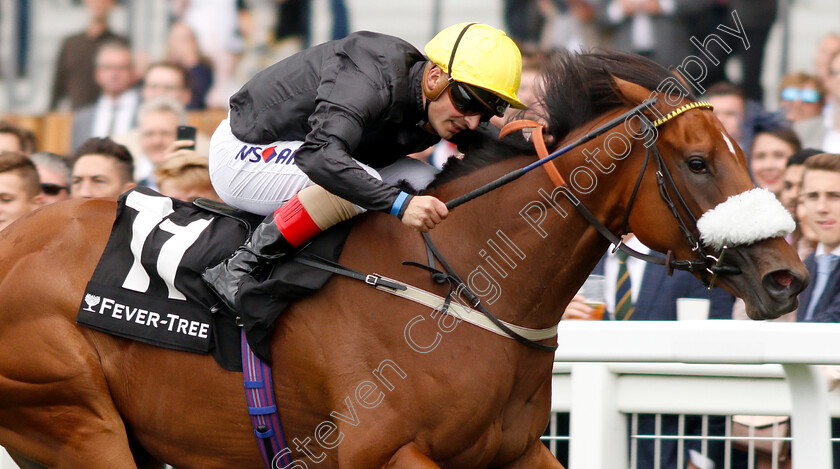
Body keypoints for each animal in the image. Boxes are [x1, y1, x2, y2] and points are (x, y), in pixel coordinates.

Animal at [0, 51, 808, 468]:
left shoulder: (514, 453)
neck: (464, 287)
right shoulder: (383, 452)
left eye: (742, 150)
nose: (787, 275)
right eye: (699, 162)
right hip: (73, 417)